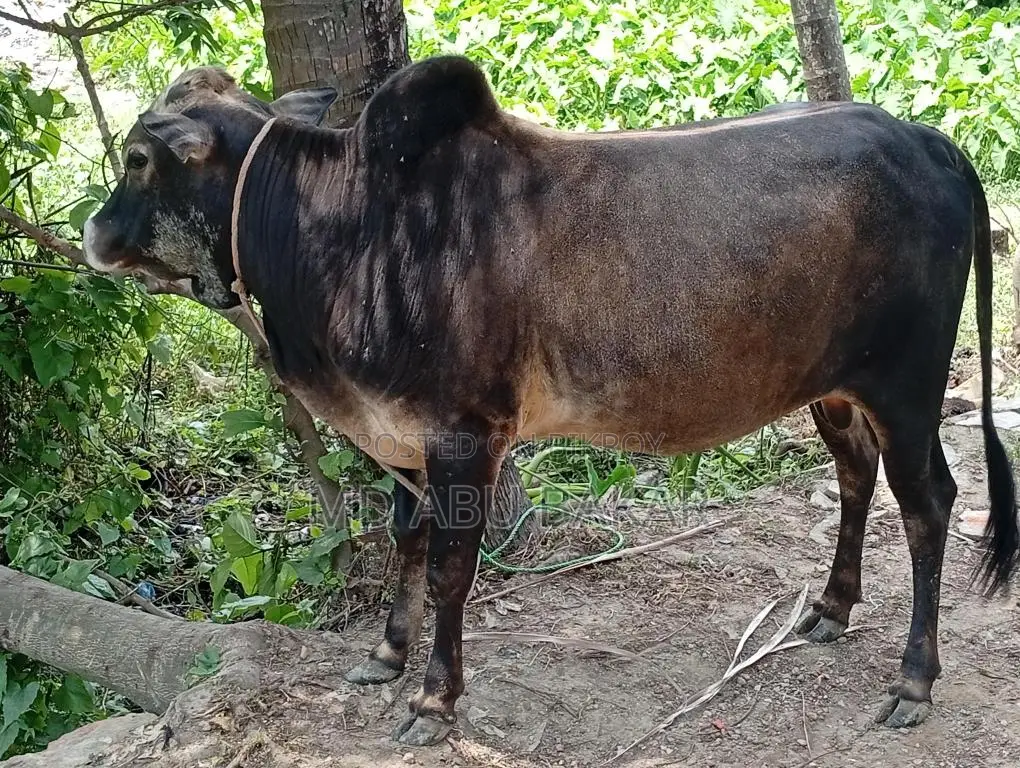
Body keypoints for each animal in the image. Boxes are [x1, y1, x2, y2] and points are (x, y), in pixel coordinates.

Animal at [83, 55, 1019, 747]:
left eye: (137, 158)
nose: (92, 232)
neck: (351, 228)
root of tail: (928, 137)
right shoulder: (401, 436)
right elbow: (406, 542)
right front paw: (386, 654)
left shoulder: (464, 437)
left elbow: (452, 569)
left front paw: (433, 701)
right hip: (833, 388)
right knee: (857, 476)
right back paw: (829, 608)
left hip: (907, 387)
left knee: (928, 505)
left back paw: (913, 680)